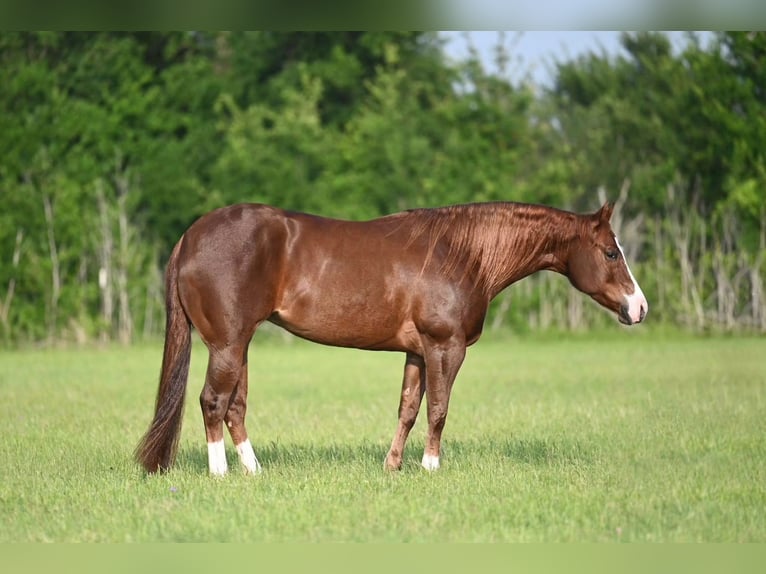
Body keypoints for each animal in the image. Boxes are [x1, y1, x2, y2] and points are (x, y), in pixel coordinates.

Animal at [135, 200, 648, 475]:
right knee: (212, 402)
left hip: (237, 345)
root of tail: (190, 236)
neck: (462, 253)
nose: (638, 307)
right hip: (226, 344)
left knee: (234, 407)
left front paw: (394, 466)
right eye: (610, 252)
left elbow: (408, 409)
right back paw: (220, 473)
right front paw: (431, 466)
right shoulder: (445, 347)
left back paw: (255, 471)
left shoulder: (417, 352)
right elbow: (439, 409)